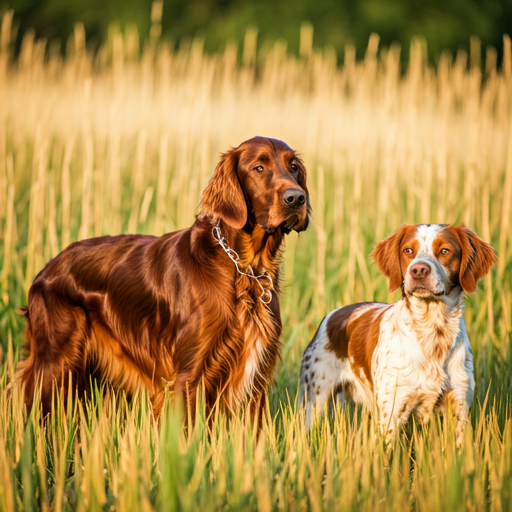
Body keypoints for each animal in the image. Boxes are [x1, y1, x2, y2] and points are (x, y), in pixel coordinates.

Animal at [18, 136, 310, 420]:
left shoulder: (257, 380)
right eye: (259, 168)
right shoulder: (189, 375)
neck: (243, 267)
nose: (296, 197)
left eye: (293, 167)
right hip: (54, 364)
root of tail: (47, 268)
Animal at [300, 224, 496, 448]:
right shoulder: (391, 413)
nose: (418, 269)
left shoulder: (459, 407)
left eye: (445, 250)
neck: (432, 332)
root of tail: (331, 316)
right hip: (314, 397)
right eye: (408, 250)